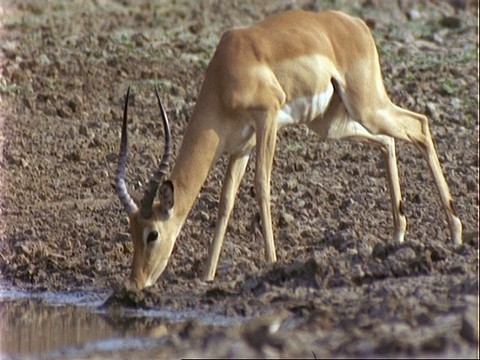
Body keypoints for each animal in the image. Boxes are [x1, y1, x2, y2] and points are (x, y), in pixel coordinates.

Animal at [115, 9, 462, 290]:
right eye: (130, 231)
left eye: (152, 234)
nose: (135, 283)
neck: (226, 72)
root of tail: (356, 24)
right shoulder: (240, 148)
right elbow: (226, 202)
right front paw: (207, 275)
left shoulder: (267, 119)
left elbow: (261, 186)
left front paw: (271, 262)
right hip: (332, 124)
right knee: (388, 142)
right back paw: (399, 235)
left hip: (367, 107)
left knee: (420, 124)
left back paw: (456, 233)